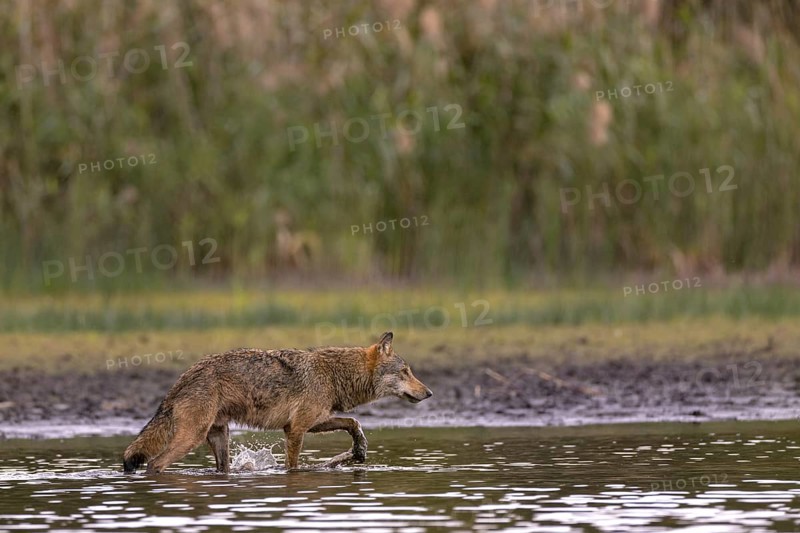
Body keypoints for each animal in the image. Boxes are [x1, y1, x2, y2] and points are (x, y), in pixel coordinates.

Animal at [122, 331, 432, 474]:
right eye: (405, 372)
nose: (429, 393)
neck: (333, 374)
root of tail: (185, 375)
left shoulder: (310, 422)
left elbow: (353, 422)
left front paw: (359, 449)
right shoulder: (295, 430)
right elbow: (292, 466)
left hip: (220, 438)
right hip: (191, 438)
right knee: (154, 464)